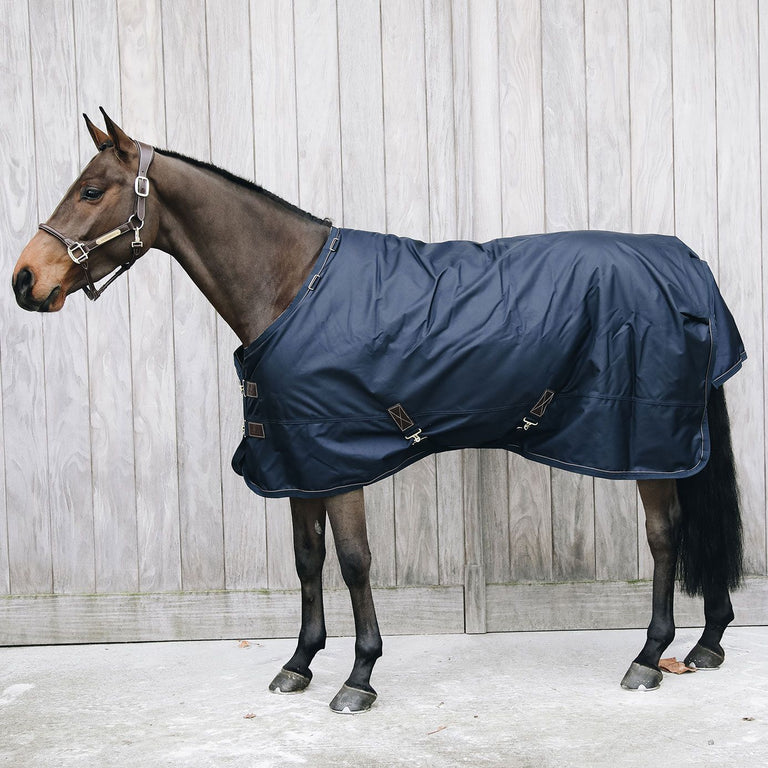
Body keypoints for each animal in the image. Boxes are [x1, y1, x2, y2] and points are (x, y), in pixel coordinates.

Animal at [12, 111, 745, 714]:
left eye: (91, 191)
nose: (25, 279)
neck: (291, 286)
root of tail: (686, 264)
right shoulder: (295, 459)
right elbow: (307, 560)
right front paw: (299, 663)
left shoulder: (340, 459)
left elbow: (354, 561)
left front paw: (358, 676)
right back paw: (705, 644)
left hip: (646, 443)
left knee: (666, 537)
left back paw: (649, 658)